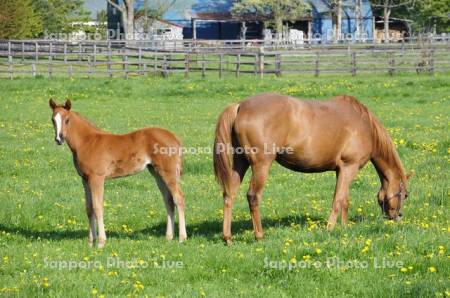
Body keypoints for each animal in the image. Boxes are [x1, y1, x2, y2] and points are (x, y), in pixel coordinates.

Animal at [49, 99, 188, 248]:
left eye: (67, 119)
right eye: (53, 119)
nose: (59, 139)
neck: (87, 142)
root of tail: (174, 137)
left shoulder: (97, 178)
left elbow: (98, 207)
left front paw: (101, 242)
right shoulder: (85, 179)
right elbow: (89, 208)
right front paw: (90, 242)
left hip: (168, 172)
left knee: (179, 198)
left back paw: (182, 238)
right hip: (156, 173)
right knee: (168, 200)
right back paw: (168, 237)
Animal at [214, 93, 412, 244]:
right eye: (405, 195)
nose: (397, 217)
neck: (364, 124)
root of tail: (240, 106)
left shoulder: (342, 170)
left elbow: (345, 200)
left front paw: (344, 227)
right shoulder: (350, 167)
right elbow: (337, 200)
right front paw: (330, 229)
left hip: (239, 164)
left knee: (229, 195)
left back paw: (227, 238)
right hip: (261, 165)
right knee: (253, 196)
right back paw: (259, 235)